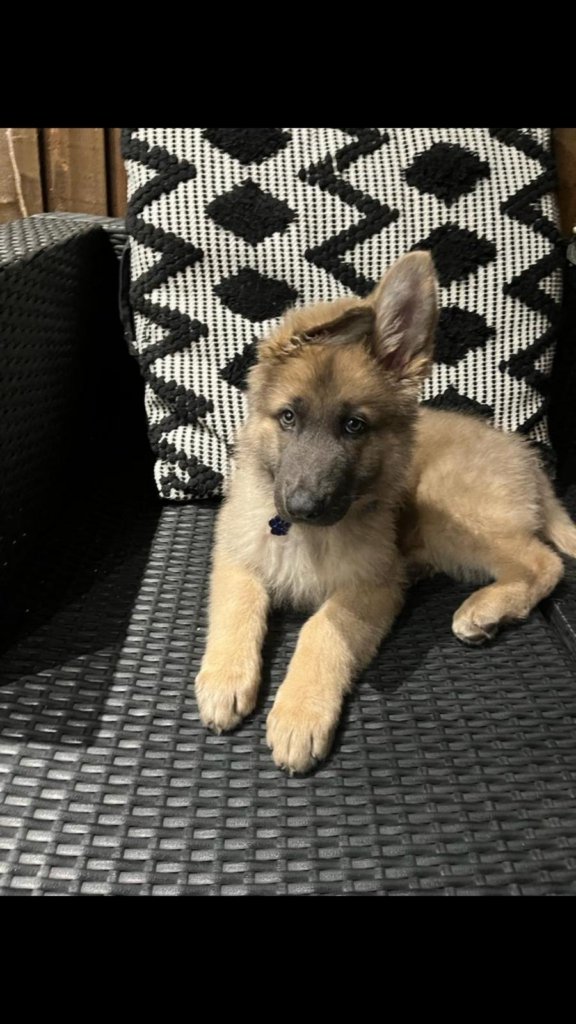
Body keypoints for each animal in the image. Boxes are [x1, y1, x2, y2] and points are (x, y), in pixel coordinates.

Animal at [196, 251, 576, 774]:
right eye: (288, 417)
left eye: (354, 426)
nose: (303, 507)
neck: (306, 537)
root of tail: (528, 458)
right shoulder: (236, 555)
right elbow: (239, 607)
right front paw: (225, 678)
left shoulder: (373, 584)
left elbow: (322, 631)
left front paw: (299, 713)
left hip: (445, 509)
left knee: (544, 561)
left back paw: (483, 610)